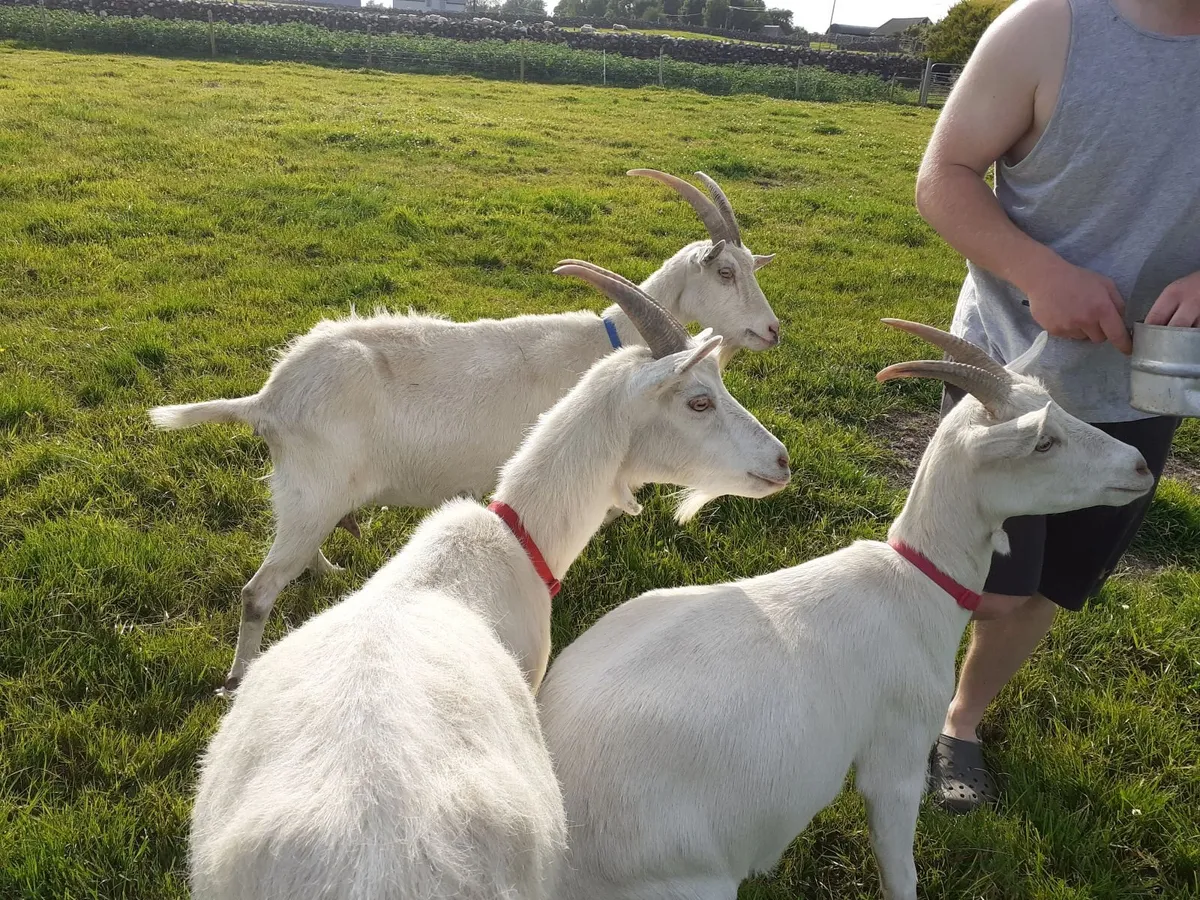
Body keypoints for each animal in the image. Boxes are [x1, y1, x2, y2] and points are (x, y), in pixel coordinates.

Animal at [148, 170, 778, 691]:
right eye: (725, 272)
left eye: (751, 268)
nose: (772, 330)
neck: (605, 342)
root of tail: (268, 400)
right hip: (310, 491)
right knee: (257, 594)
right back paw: (237, 679)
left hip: (310, 498)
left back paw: (328, 571)